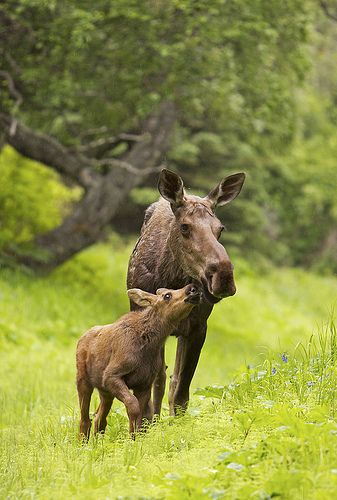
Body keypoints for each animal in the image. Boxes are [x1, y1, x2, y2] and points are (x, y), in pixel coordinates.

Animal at [75, 286, 200, 438]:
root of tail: (81, 338)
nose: (192, 289)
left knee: (100, 418)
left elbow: (141, 416)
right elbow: (133, 407)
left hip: (104, 390)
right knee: (85, 418)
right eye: (167, 295)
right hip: (83, 380)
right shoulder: (111, 375)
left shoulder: (144, 383)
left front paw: (134, 439)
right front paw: (130, 439)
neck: (150, 344)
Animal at [126, 170, 244, 416]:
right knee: (161, 378)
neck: (171, 279)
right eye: (185, 226)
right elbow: (155, 383)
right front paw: (149, 420)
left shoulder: (198, 327)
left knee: (172, 380)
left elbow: (181, 392)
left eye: (221, 228)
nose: (224, 277)